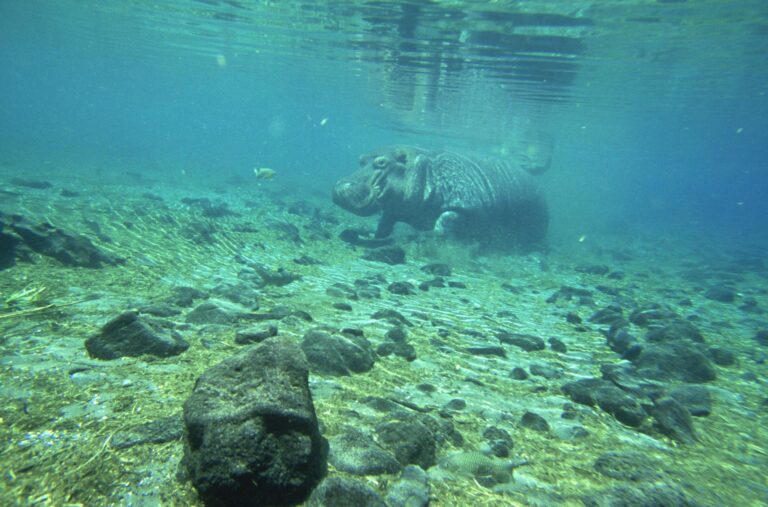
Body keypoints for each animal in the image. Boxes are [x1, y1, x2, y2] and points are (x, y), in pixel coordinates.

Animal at [332, 146, 549, 246]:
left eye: (381, 162)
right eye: (361, 159)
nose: (341, 186)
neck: (423, 166)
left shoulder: (464, 206)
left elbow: (444, 221)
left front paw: (426, 238)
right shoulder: (397, 208)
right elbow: (384, 224)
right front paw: (371, 235)